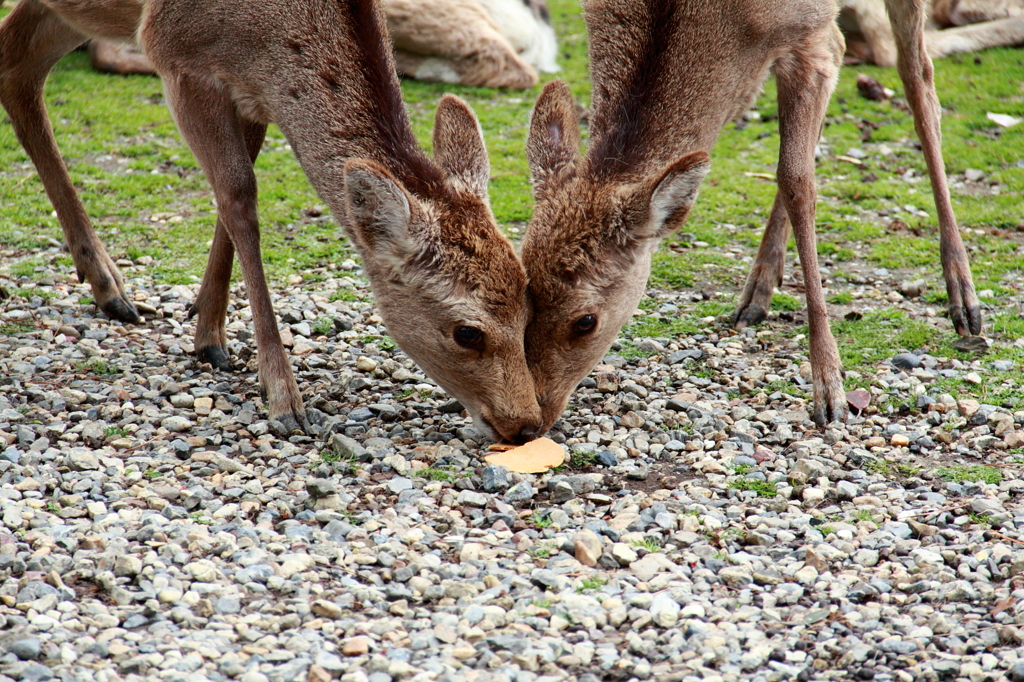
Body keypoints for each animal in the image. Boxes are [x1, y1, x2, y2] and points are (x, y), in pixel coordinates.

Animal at [0, 0, 544, 440]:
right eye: (467, 333)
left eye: (529, 310)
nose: (527, 425)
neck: (263, 42)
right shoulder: (177, 57)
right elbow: (239, 198)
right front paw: (283, 396)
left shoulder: (252, 93)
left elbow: (232, 195)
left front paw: (207, 331)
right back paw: (110, 283)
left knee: (17, 64)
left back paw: (107, 284)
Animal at [524, 0, 978, 428]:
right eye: (524, 297)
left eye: (585, 321)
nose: (535, 417)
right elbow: (795, 167)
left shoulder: (808, 32)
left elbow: (796, 180)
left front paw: (829, 391)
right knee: (852, 55)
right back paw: (758, 290)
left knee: (917, 75)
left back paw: (963, 297)